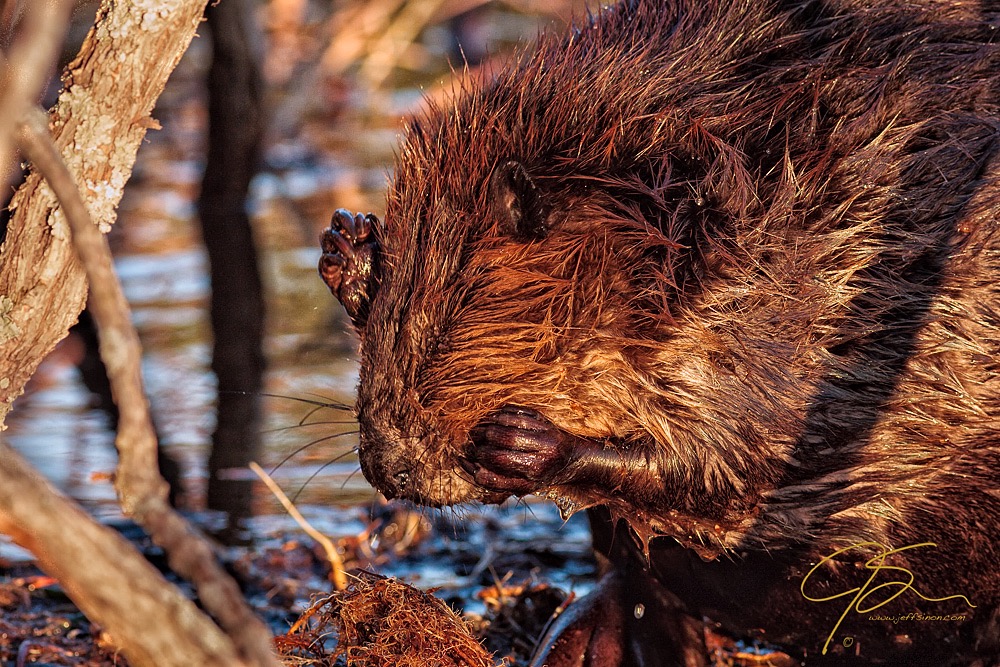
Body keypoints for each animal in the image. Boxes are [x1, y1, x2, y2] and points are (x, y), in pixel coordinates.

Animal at [318, 1, 1000, 664]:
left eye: (448, 319)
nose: (386, 469)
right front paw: (349, 252)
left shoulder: (790, 290)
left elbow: (734, 458)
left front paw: (522, 444)